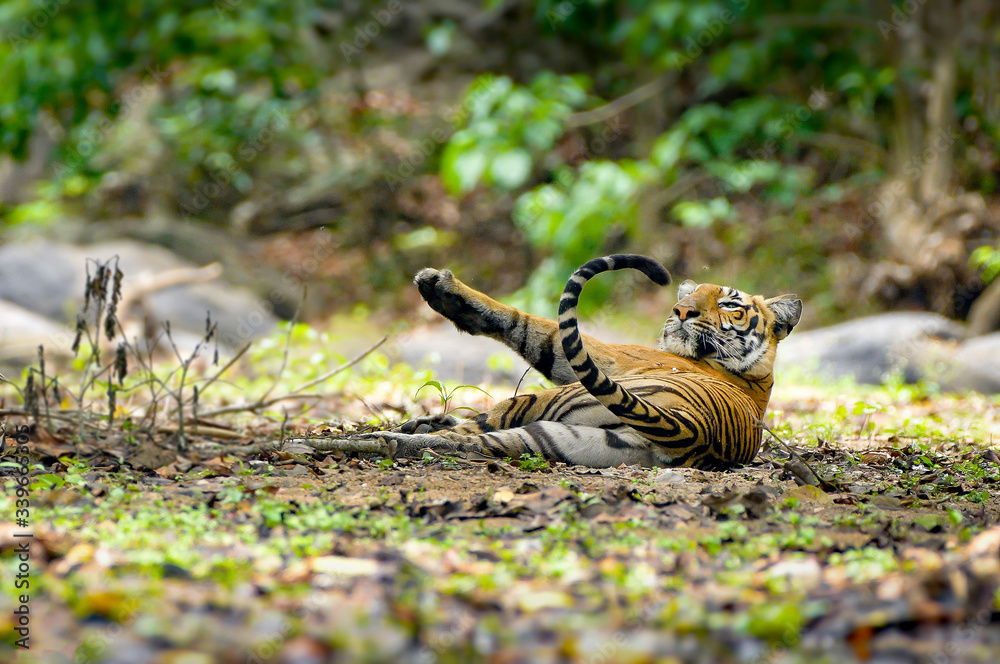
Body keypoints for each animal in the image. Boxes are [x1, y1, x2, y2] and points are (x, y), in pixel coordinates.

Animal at [348, 254, 801, 469]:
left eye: (729, 305)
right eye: (687, 295)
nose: (681, 310)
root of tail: (693, 429)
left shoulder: (606, 358)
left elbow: (529, 324)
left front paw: (441, 288)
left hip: (551, 398)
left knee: (471, 431)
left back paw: (375, 439)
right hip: (554, 436)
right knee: (466, 443)